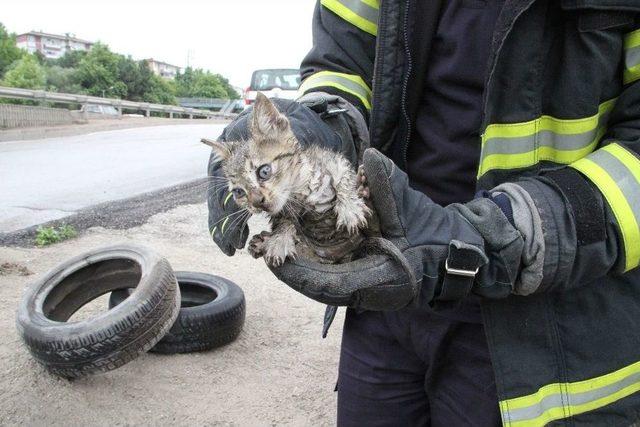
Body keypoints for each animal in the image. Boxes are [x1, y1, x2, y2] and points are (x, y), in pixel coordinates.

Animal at [208, 93, 372, 268]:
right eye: (238, 192)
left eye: (264, 171)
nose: (257, 202)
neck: (299, 192)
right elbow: (284, 220)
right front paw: (280, 239)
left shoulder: (332, 160)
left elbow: (343, 180)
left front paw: (350, 207)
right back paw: (260, 242)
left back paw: (363, 184)